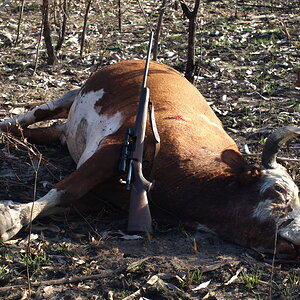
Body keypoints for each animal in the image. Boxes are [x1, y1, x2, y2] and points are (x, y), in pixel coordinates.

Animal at [0, 61, 300, 258]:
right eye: (279, 190)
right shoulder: (111, 149)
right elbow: (65, 189)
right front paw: (11, 217)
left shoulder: (100, 199)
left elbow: (67, 199)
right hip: (72, 96)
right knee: (36, 114)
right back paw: (8, 124)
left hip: (64, 130)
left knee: (38, 132)